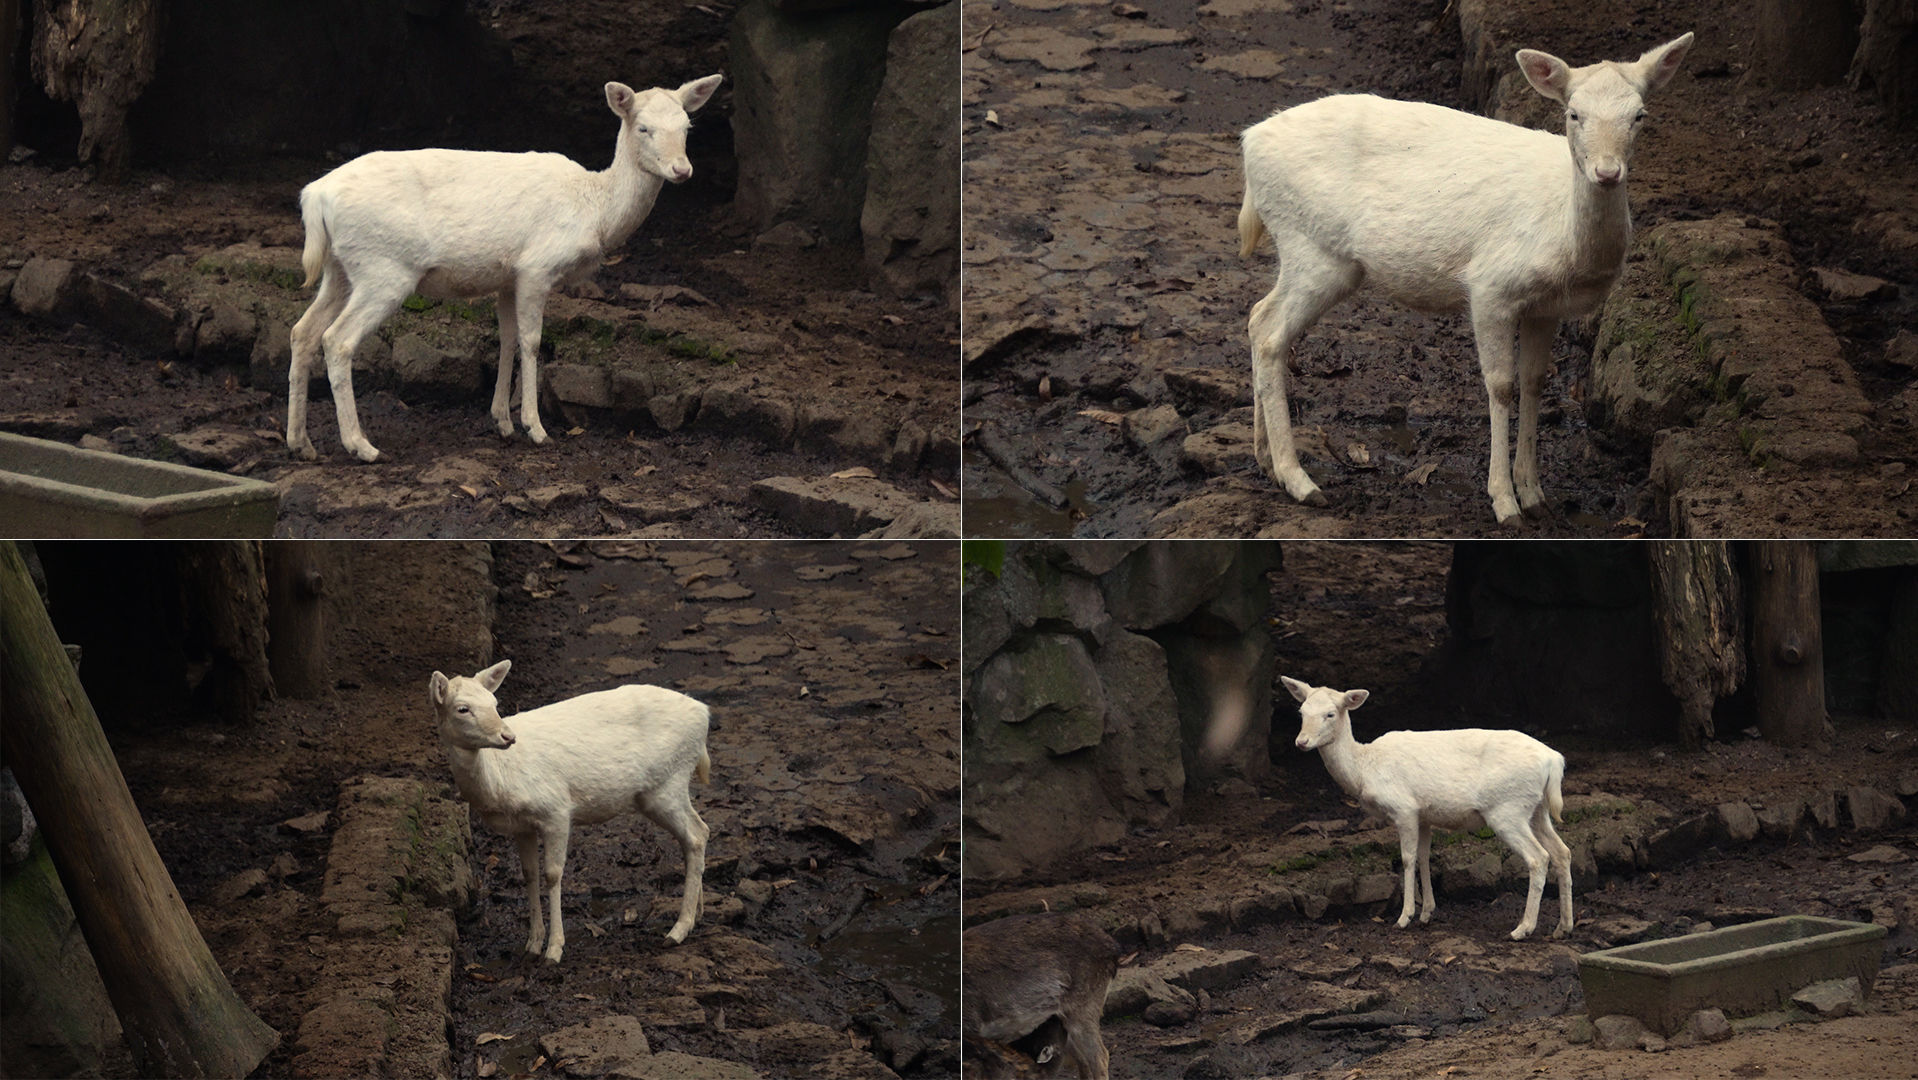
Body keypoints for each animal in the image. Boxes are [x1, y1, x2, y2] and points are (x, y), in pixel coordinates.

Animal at [287, 73, 721, 462]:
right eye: (644, 128)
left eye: (687, 126)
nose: (682, 170)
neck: (594, 210)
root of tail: (316, 196)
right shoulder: (537, 267)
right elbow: (531, 340)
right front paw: (535, 427)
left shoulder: (506, 277)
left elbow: (507, 338)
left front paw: (502, 421)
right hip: (385, 269)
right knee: (337, 339)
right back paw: (362, 446)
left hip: (340, 269)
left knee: (302, 331)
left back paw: (300, 443)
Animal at [1235, 33, 1687, 525]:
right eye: (1573, 113)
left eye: (1639, 115)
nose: (1607, 172)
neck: (1563, 235)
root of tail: (1248, 141)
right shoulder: (1492, 286)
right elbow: (1501, 384)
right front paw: (1505, 503)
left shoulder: (1546, 307)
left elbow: (1535, 381)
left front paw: (1536, 495)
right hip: (1314, 248)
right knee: (1271, 333)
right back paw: (1300, 481)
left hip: (1306, 253)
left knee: (1257, 316)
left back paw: (1265, 460)